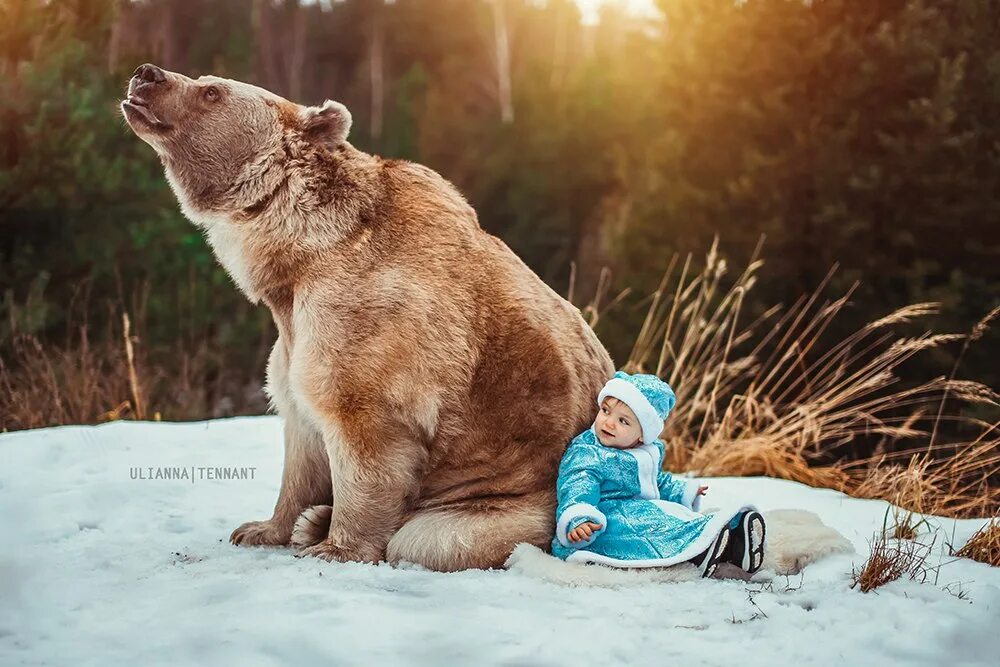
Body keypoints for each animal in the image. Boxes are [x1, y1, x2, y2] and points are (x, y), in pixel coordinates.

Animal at [121, 65, 612, 572]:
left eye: (212, 91)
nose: (146, 74)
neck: (299, 255)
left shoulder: (370, 317)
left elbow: (364, 430)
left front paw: (335, 546)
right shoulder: (293, 335)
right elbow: (300, 434)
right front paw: (263, 528)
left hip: (522, 500)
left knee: (434, 537)